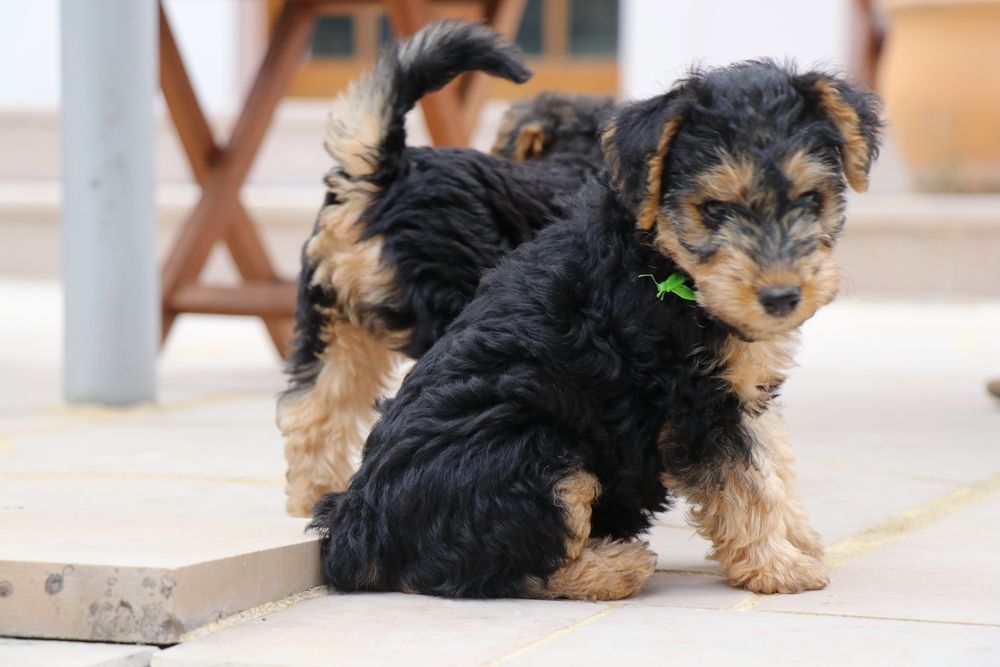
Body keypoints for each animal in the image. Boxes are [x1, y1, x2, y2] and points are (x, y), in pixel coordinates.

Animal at [278, 20, 614, 517]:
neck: (572, 161)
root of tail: (383, 173)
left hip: (330, 320)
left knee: (311, 409)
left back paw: (311, 495)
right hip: (446, 313)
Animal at [309, 60, 881, 600]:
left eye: (810, 199)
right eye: (715, 208)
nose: (781, 296)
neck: (662, 262)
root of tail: (354, 528)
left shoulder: (741, 390)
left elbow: (773, 460)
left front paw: (799, 538)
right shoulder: (696, 407)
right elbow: (744, 486)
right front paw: (780, 567)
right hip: (535, 455)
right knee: (491, 567)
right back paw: (616, 565)